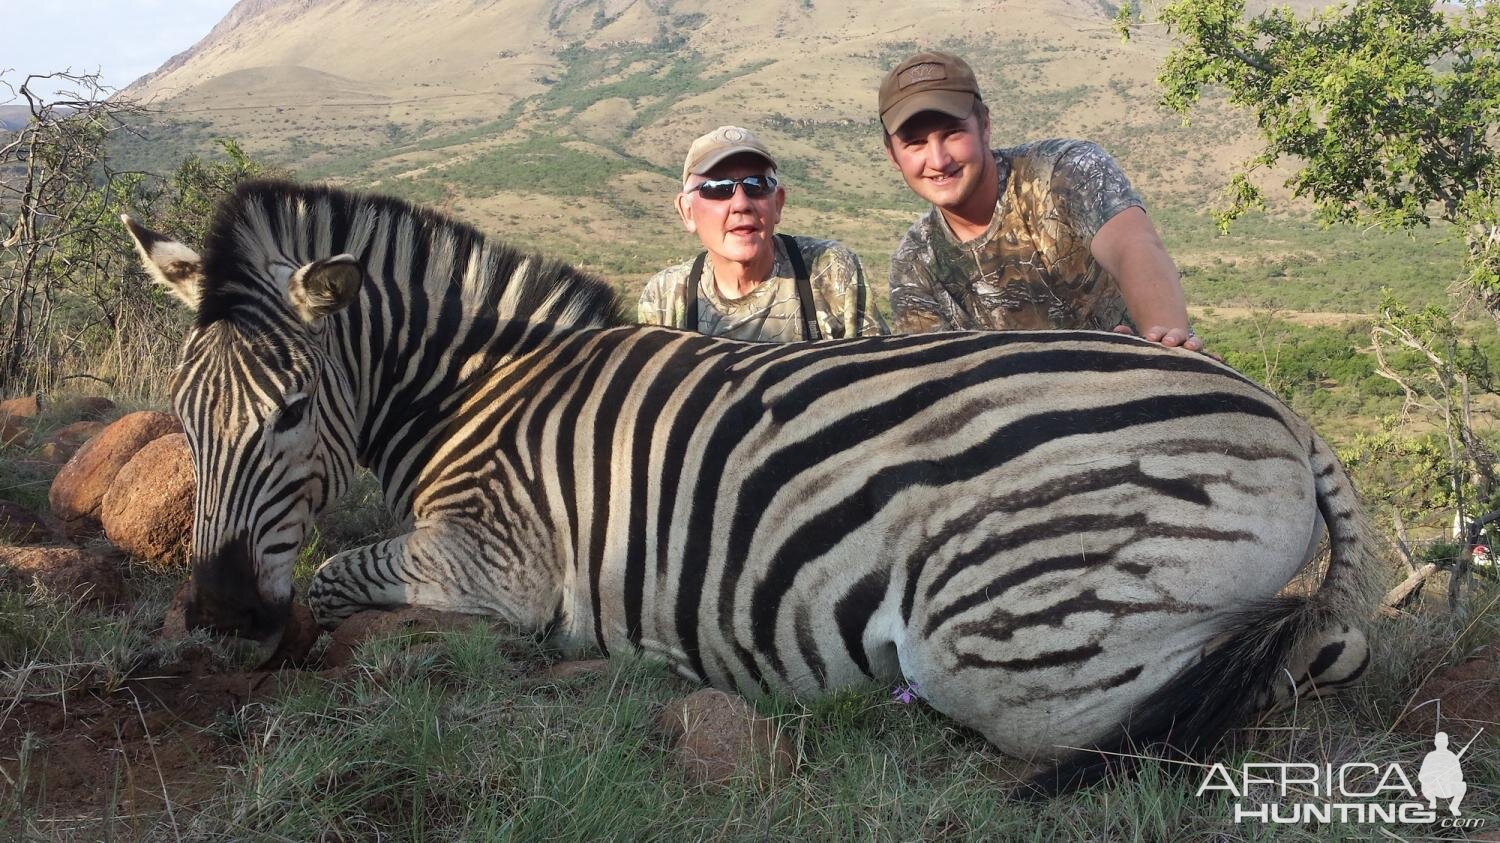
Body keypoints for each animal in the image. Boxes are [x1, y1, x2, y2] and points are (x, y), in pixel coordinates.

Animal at [123, 180, 1374, 792]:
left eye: (291, 413)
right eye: (181, 410)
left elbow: (338, 572)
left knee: (1215, 688)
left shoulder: (500, 559)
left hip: (1004, 640)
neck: (485, 389)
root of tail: (1279, 413)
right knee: (1322, 649)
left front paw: (284, 637)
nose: (224, 611)